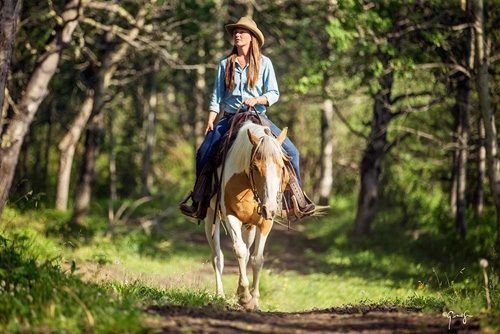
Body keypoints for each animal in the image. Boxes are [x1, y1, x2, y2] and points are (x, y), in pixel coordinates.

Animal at [203, 120, 290, 310]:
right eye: (256, 167)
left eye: (282, 167)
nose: (269, 208)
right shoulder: (230, 216)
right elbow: (240, 251)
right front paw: (244, 296)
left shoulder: (265, 222)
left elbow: (257, 259)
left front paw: (253, 299)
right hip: (211, 217)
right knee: (217, 257)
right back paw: (220, 295)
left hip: (249, 226)